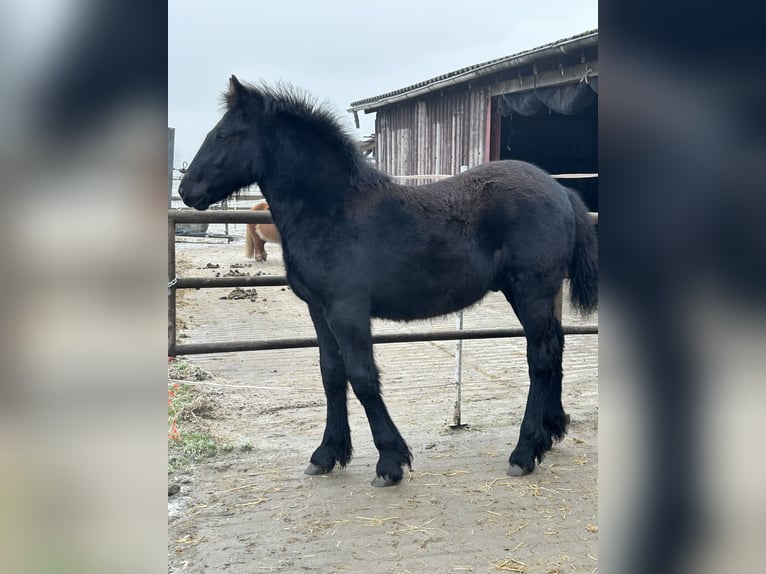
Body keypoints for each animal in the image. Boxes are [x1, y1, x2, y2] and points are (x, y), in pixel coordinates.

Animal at [182, 76, 600, 488]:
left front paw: (390, 460)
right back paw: (551, 431)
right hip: (537, 294)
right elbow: (331, 375)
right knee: (556, 347)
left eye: (224, 135)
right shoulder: (319, 309)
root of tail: (561, 190)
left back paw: (525, 451)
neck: (332, 208)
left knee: (541, 358)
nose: (187, 190)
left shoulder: (347, 309)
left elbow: (363, 377)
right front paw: (327, 454)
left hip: (531, 291)